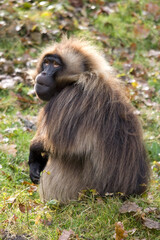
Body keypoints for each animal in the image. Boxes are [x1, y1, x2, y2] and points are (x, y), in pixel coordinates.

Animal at [28, 37, 150, 202]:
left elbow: (63, 145)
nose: (44, 72)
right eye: (46, 62)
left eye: (56, 65)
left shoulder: (69, 101)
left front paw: (34, 151)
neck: (77, 79)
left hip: (84, 192)